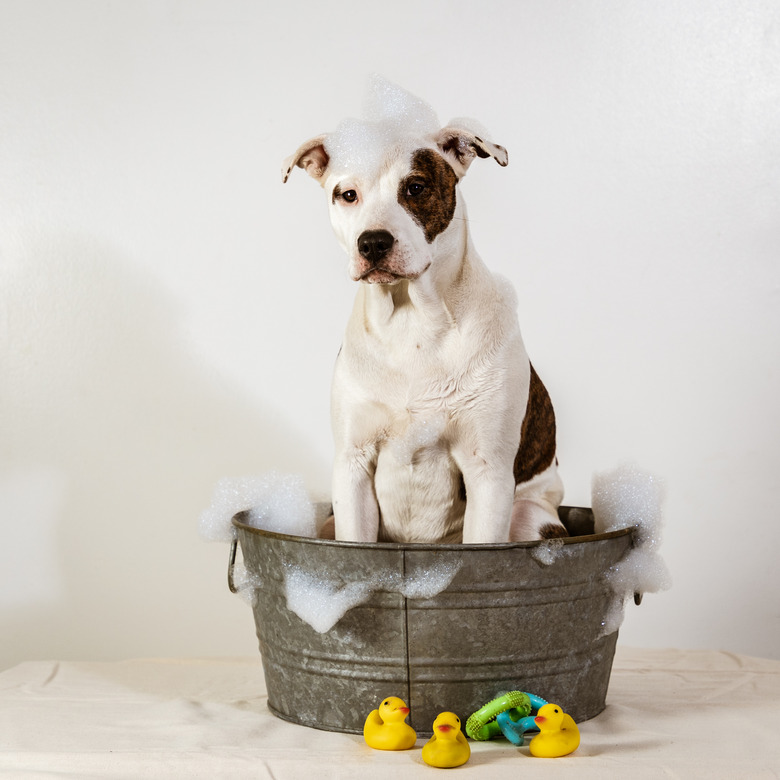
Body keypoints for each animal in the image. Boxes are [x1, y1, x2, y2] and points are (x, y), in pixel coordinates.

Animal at [284, 91, 564, 544]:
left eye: (415, 188)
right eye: (348, 195)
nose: (373, 243)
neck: (412, 321)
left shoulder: (487, 471)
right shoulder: (352, 467)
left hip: (529, 517)